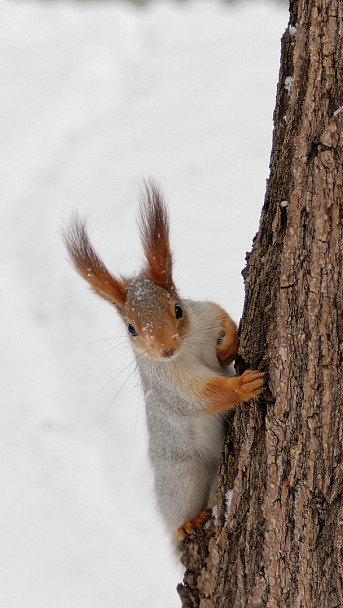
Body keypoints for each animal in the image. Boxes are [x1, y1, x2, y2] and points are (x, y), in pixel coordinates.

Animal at [63, 182, 264, 548]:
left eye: (178, 309)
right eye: (131, 329)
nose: (166, 349)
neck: (188, 348)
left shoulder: (203, 315)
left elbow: (223, 316)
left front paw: (228, 346)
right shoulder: (168, 382)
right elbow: (199, 397)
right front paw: (242, 385)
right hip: (180, 479)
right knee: (175, 516)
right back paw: (186, 523)